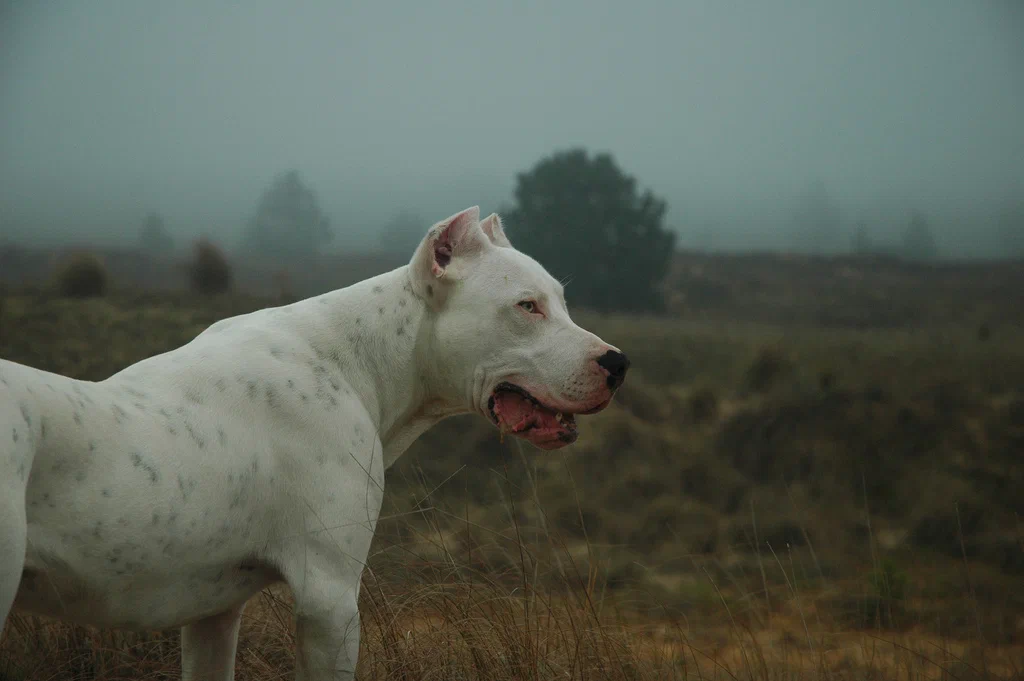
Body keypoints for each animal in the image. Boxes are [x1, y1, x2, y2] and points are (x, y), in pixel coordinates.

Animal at [0, 206, 626, 679]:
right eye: (527, 306)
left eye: (561, 300)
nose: (618, 363)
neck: (361, 358)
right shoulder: (330, 600)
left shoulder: (213, 613)